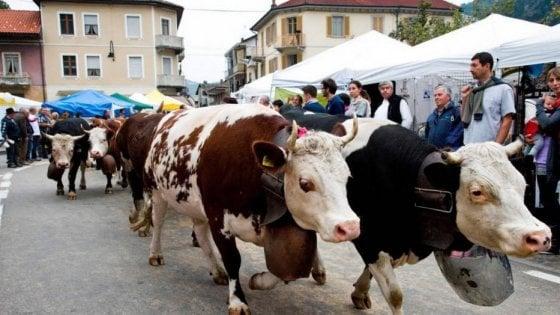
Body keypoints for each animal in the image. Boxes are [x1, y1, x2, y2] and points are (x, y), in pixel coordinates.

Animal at [144, 105, 360, 314]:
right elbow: (233, 259)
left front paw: (258, 280)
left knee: (200, 234)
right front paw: (237, 301)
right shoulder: (219, 219)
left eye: (348, 177)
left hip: (195, 205)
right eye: (305, 183)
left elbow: (285, 270)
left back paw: (217, 271)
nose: (350, 227)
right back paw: (155, 254)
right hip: (156, 190)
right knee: (158, 222)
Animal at [284, 111, 552, 315]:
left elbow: (370, 274)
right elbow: (395, 294)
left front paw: (359, 293)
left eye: (523, 185)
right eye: (477, 192)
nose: (540, 237)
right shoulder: (369, 237)